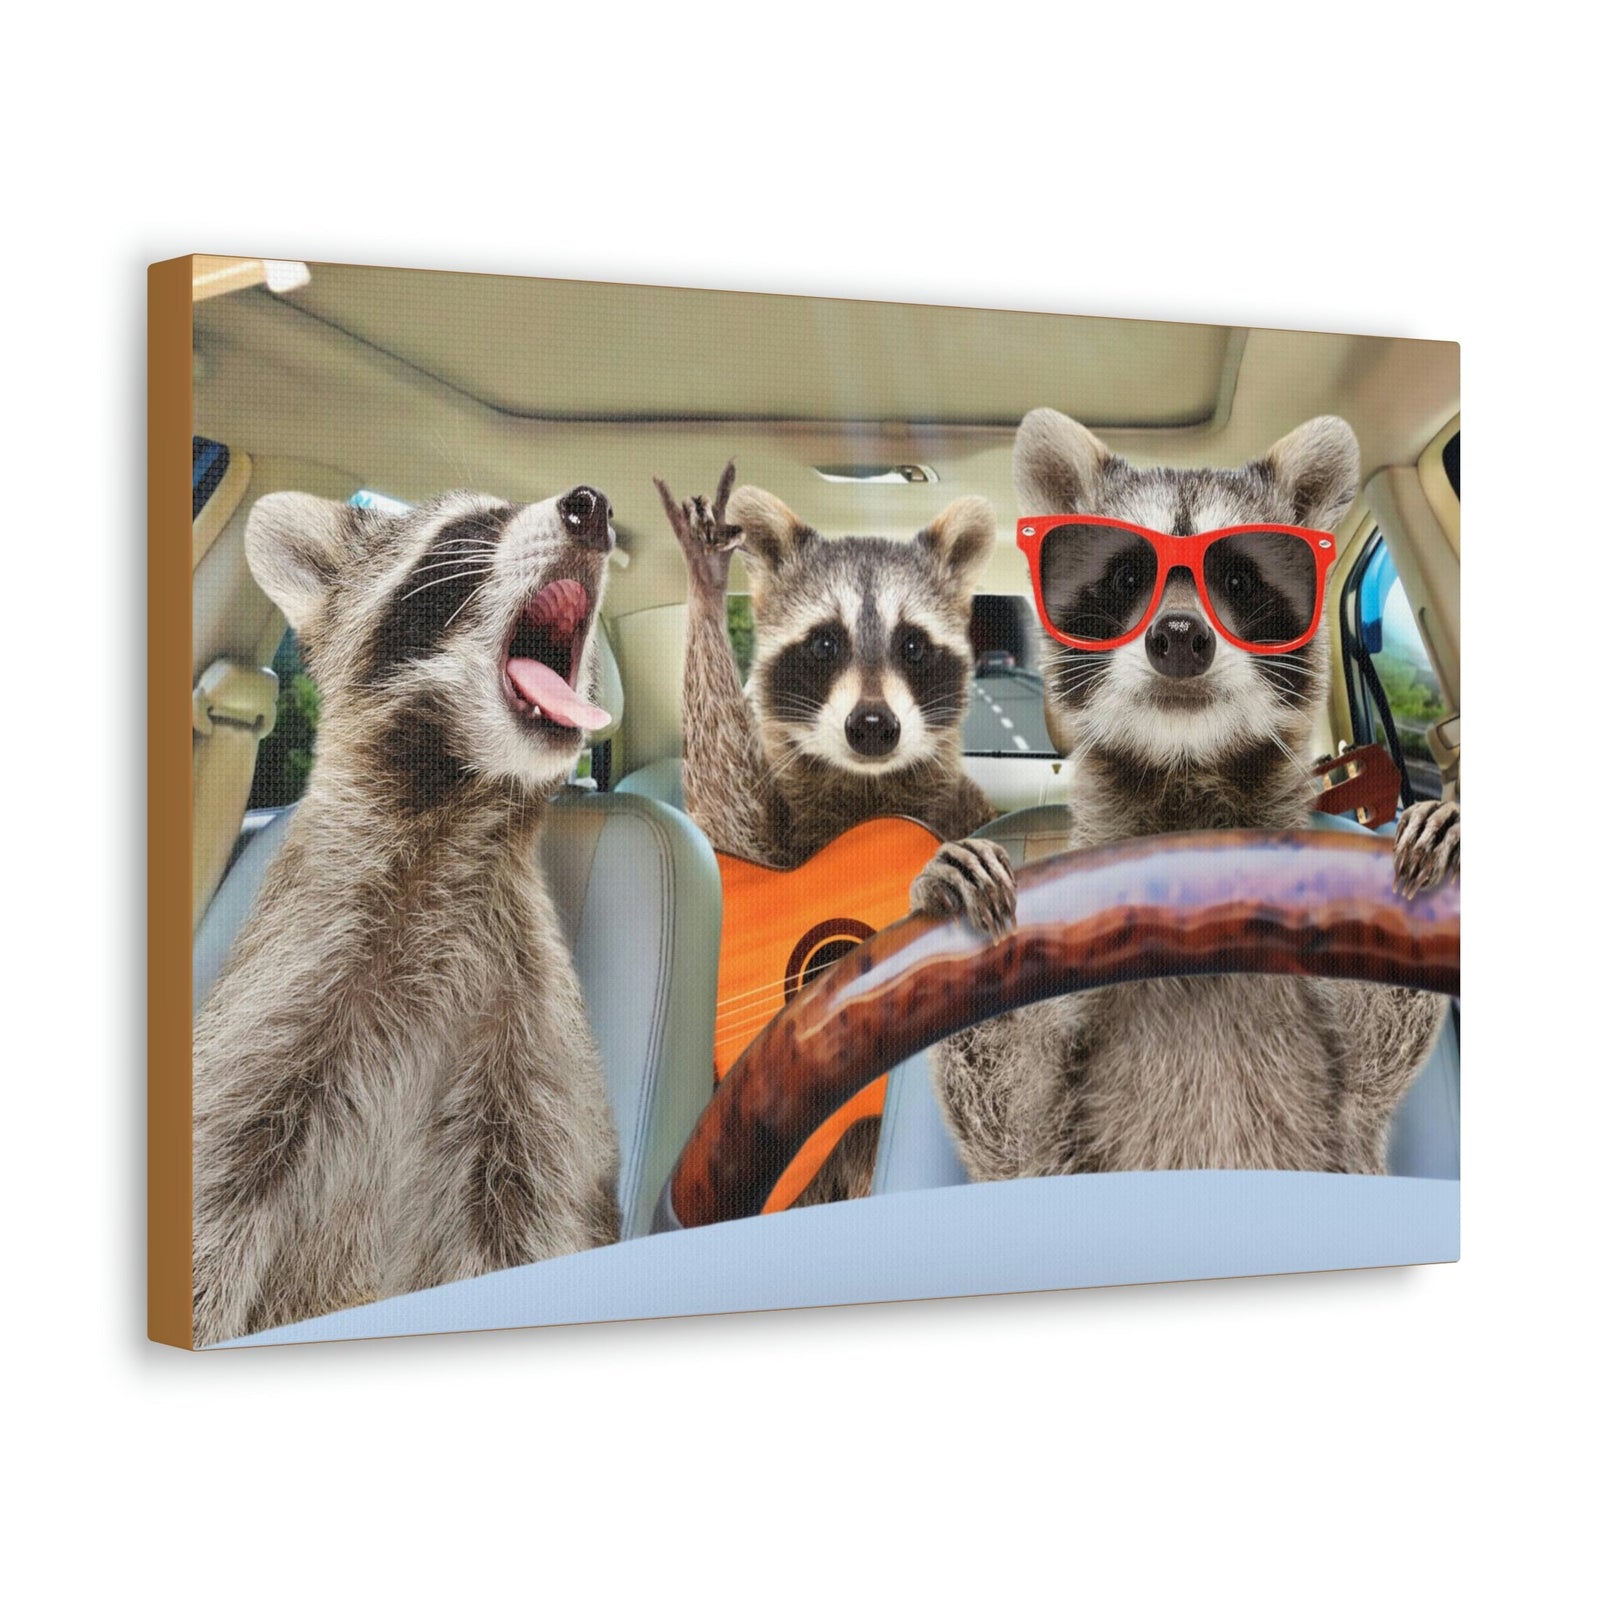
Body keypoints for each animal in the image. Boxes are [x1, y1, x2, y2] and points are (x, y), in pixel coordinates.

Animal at [192, 485, 622, 1346]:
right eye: (471, 527)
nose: (592, 506)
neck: (458, 799)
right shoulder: (287, 982)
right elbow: (209, 1200)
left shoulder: (530, 1056)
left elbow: (532, 1219)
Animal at [655, 462, 998, 1201]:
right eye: (824, 642)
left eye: (912, 644)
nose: (872, 726)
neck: (867, 784)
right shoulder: (763, 820)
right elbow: (729, 814)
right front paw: (706, 586)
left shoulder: (967, 809)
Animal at [913, 410, 1461, 1180]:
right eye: (1126, 575)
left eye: (1238, 575)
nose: (1178, 637)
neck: (1186, 773)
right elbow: (1013, 1123)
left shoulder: (1344, 1093)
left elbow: (1374, 1053)